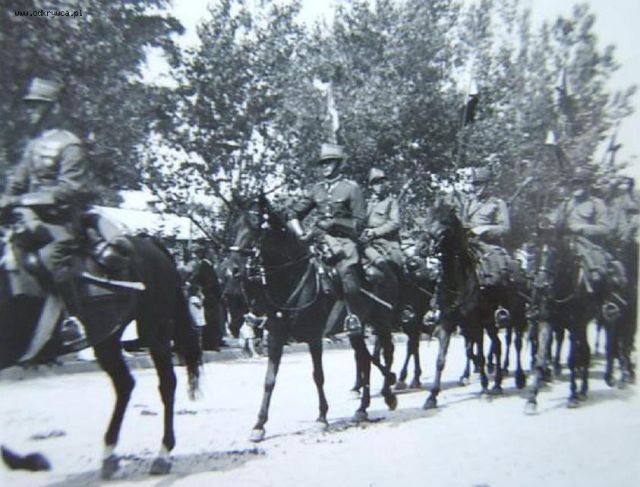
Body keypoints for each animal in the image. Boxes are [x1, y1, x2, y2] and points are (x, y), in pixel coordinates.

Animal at [0, 208, 201, 478]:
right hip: (107, 337)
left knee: (166, 384)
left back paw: (163, 454)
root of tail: (150, 244)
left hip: (155, 328)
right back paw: (109, 454)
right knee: (125, 384)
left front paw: (28, 461)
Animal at [232, 195, 398, 440]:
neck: (292, 279)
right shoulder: (276, 336)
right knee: (364, 359)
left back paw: (389, 392)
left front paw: (321, 418)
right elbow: (269, 380)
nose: (232, 269)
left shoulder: (313, 337)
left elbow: (318, 375)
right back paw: (362, 408)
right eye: (237, 227)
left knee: (386, 352)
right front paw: (259, 425)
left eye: (256, 229)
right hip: (357, 329)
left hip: (381, 320)